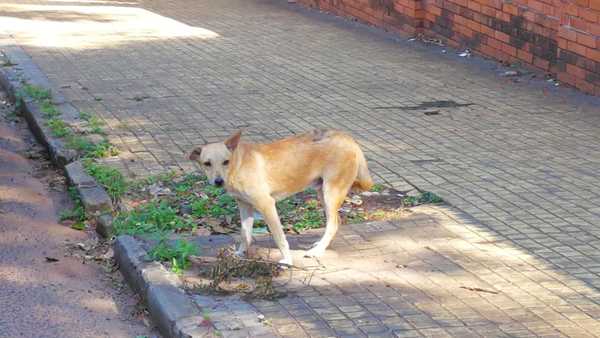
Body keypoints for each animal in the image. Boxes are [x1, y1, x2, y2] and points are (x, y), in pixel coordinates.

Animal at [190, 129, 372, 264]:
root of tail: (348, 138)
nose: (218, 181)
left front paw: (287, 260)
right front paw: (240, 253)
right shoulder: (244, 205)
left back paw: (317, 251)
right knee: (335, 221)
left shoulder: (267, 205)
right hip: (323, 193)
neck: (238, 165)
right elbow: (245, 234)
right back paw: (321, 245)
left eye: (225, 162)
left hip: (331, 192)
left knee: (333, 223)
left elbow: (279, 237)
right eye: (207, 164)